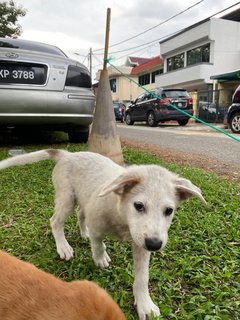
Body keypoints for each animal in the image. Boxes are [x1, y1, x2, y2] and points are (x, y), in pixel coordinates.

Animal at [0, 151, 206, 320]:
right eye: (139, 206)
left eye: (169, 210)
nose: (155, 245)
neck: (122, 215)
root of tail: (68, 154)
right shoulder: (99, 223)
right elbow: (98, 243)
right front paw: (100, 258)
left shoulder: (141, 244)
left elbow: (142, 277)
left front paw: (144, 304)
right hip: (67, 198)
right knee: (56, 221)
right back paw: (63, 246)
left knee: (80, 213)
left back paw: (84, 233)